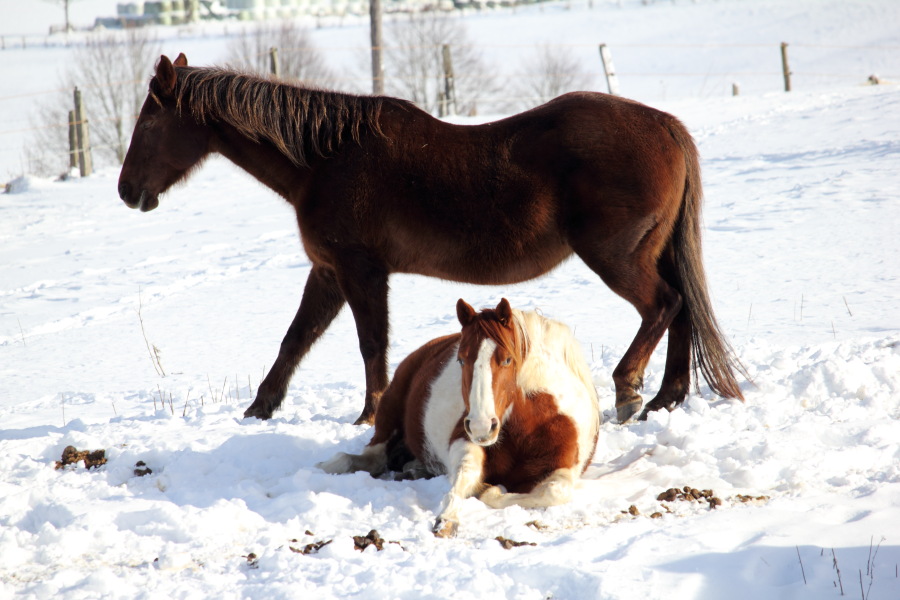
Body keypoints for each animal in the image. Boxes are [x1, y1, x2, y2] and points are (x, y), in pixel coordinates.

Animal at [118, 53, 747, 426]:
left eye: (149, 121)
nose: (127, 192)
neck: (324, 161)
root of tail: (666, 125)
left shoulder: (361, 271)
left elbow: (372, 345)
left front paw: (369, 414)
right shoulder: (329, 272)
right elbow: (295, 340)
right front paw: (260, 408)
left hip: (617, 256)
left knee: (663, 304)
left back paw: (629, 389)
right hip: (650, 251)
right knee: (682, 310)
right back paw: (667, 398)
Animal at [318, 298, 600, 537]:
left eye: (507, 360)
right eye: (461, 360)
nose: (481, 426)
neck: (530, 424)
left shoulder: (565, 466)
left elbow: (554, 492)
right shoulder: (464, 440)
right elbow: (466, 472)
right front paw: (449, 518)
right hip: (388, 421)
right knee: (367, 459)